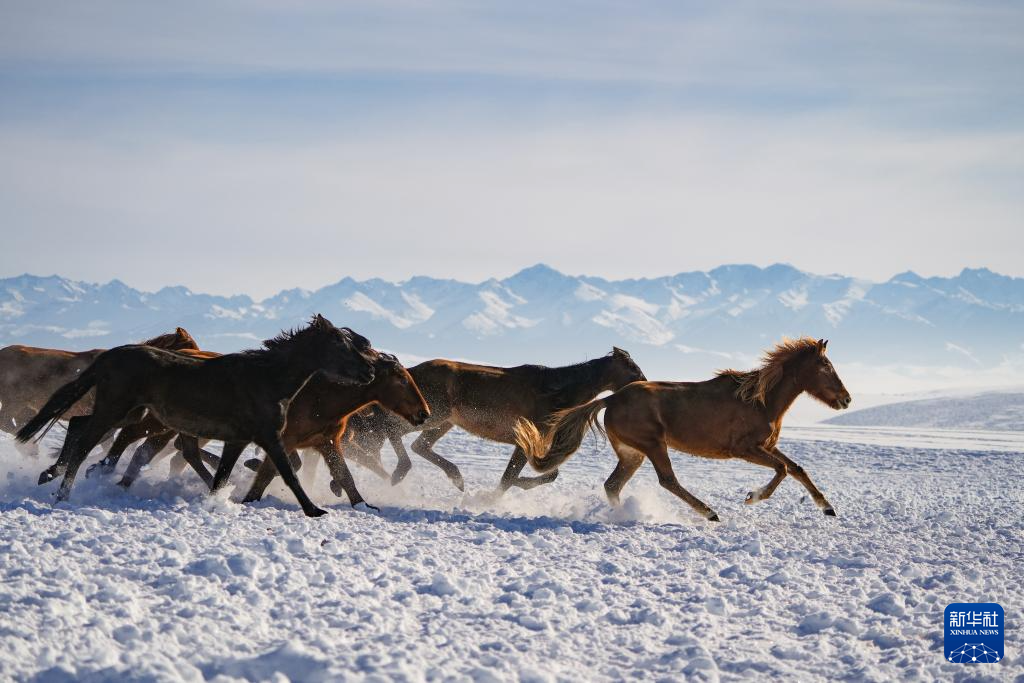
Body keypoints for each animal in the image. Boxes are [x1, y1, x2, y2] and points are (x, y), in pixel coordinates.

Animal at [343, 348, 646, 492]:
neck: (558, 389)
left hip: (444, 421)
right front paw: (491, 497)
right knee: (389, 428)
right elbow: (509, 476)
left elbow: (549, 475)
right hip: (431, 415)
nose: (645, 383)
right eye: (632, 368)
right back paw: (399, 472)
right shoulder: (525, 440)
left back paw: (456, 478)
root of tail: (411, 371)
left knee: (419, 445)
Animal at [515, 338, 852, 520]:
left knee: (613, 485)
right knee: (668, 480)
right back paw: (710, 513)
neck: (760, 400)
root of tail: (612, 398)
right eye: (826, 367)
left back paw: (624, 515)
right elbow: (782, 469)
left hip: (632, 453)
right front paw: (752, 497)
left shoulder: (766, 446)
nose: (846, 399)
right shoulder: (745, 449)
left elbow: (796, 468)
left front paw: (828, 508)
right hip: (652, 446)